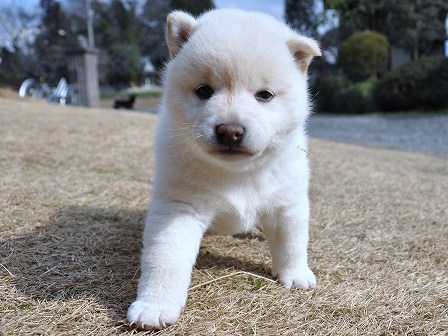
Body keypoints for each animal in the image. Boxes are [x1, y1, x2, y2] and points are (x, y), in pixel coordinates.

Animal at [128, 8, 320, 330]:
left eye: (265, 95)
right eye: (204, 91)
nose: (230, 131)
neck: (237, 173)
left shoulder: (287, 203)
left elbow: (292, 242)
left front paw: (296, 275)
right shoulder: (179, 208)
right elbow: (165, 259)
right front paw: (154, 305)